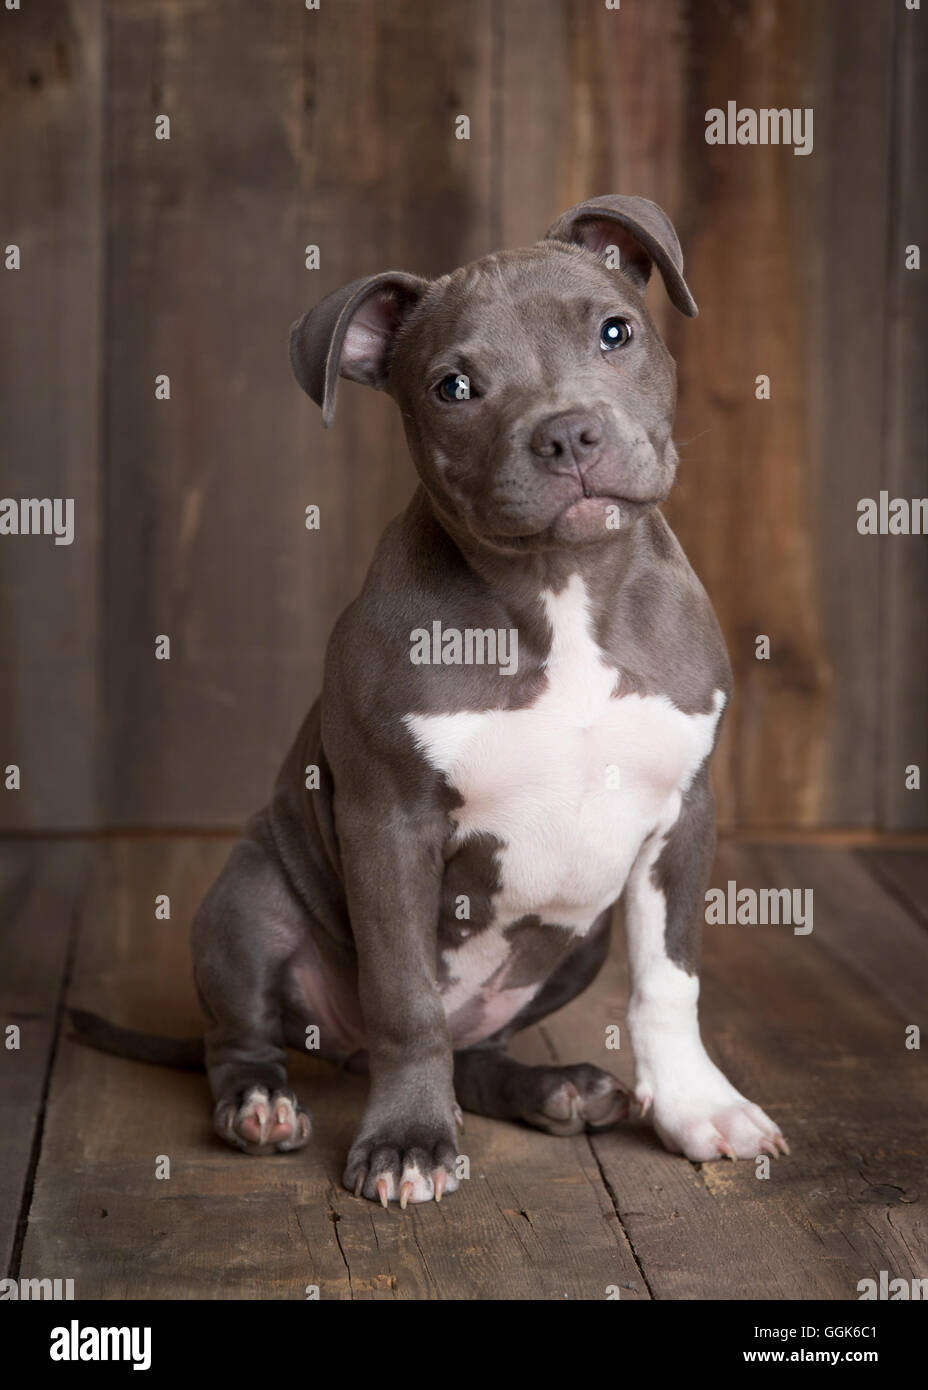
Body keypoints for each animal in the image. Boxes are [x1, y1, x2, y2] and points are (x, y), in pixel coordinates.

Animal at [81, 195, 789, 1206]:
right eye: (455, 387)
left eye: (615, 332)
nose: (568, 433)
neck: (562, 589)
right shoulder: (388, 822)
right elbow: (406, 997)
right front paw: (408, 1142)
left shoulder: (683, 813)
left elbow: (670, 979)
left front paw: (698, 1107)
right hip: (249, 899)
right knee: (246, 1037)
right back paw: (261, 1106)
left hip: (575, 946)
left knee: (476, 1049)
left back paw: (554, 1089)